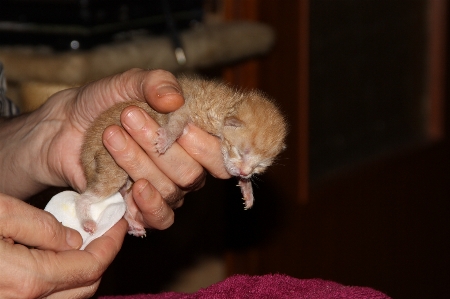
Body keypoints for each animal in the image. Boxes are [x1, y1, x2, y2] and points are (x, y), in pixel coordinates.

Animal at [78, 76, 288, 238]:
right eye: (239, 151)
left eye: (259, 167)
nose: (245, 173)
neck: (229, 104)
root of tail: (87, 143)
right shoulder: (189, 105)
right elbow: (178, 119)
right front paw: (167, 138)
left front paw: (246, 188)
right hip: (112, 167)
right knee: (85, 197)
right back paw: (87, 221)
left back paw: (130, 221)